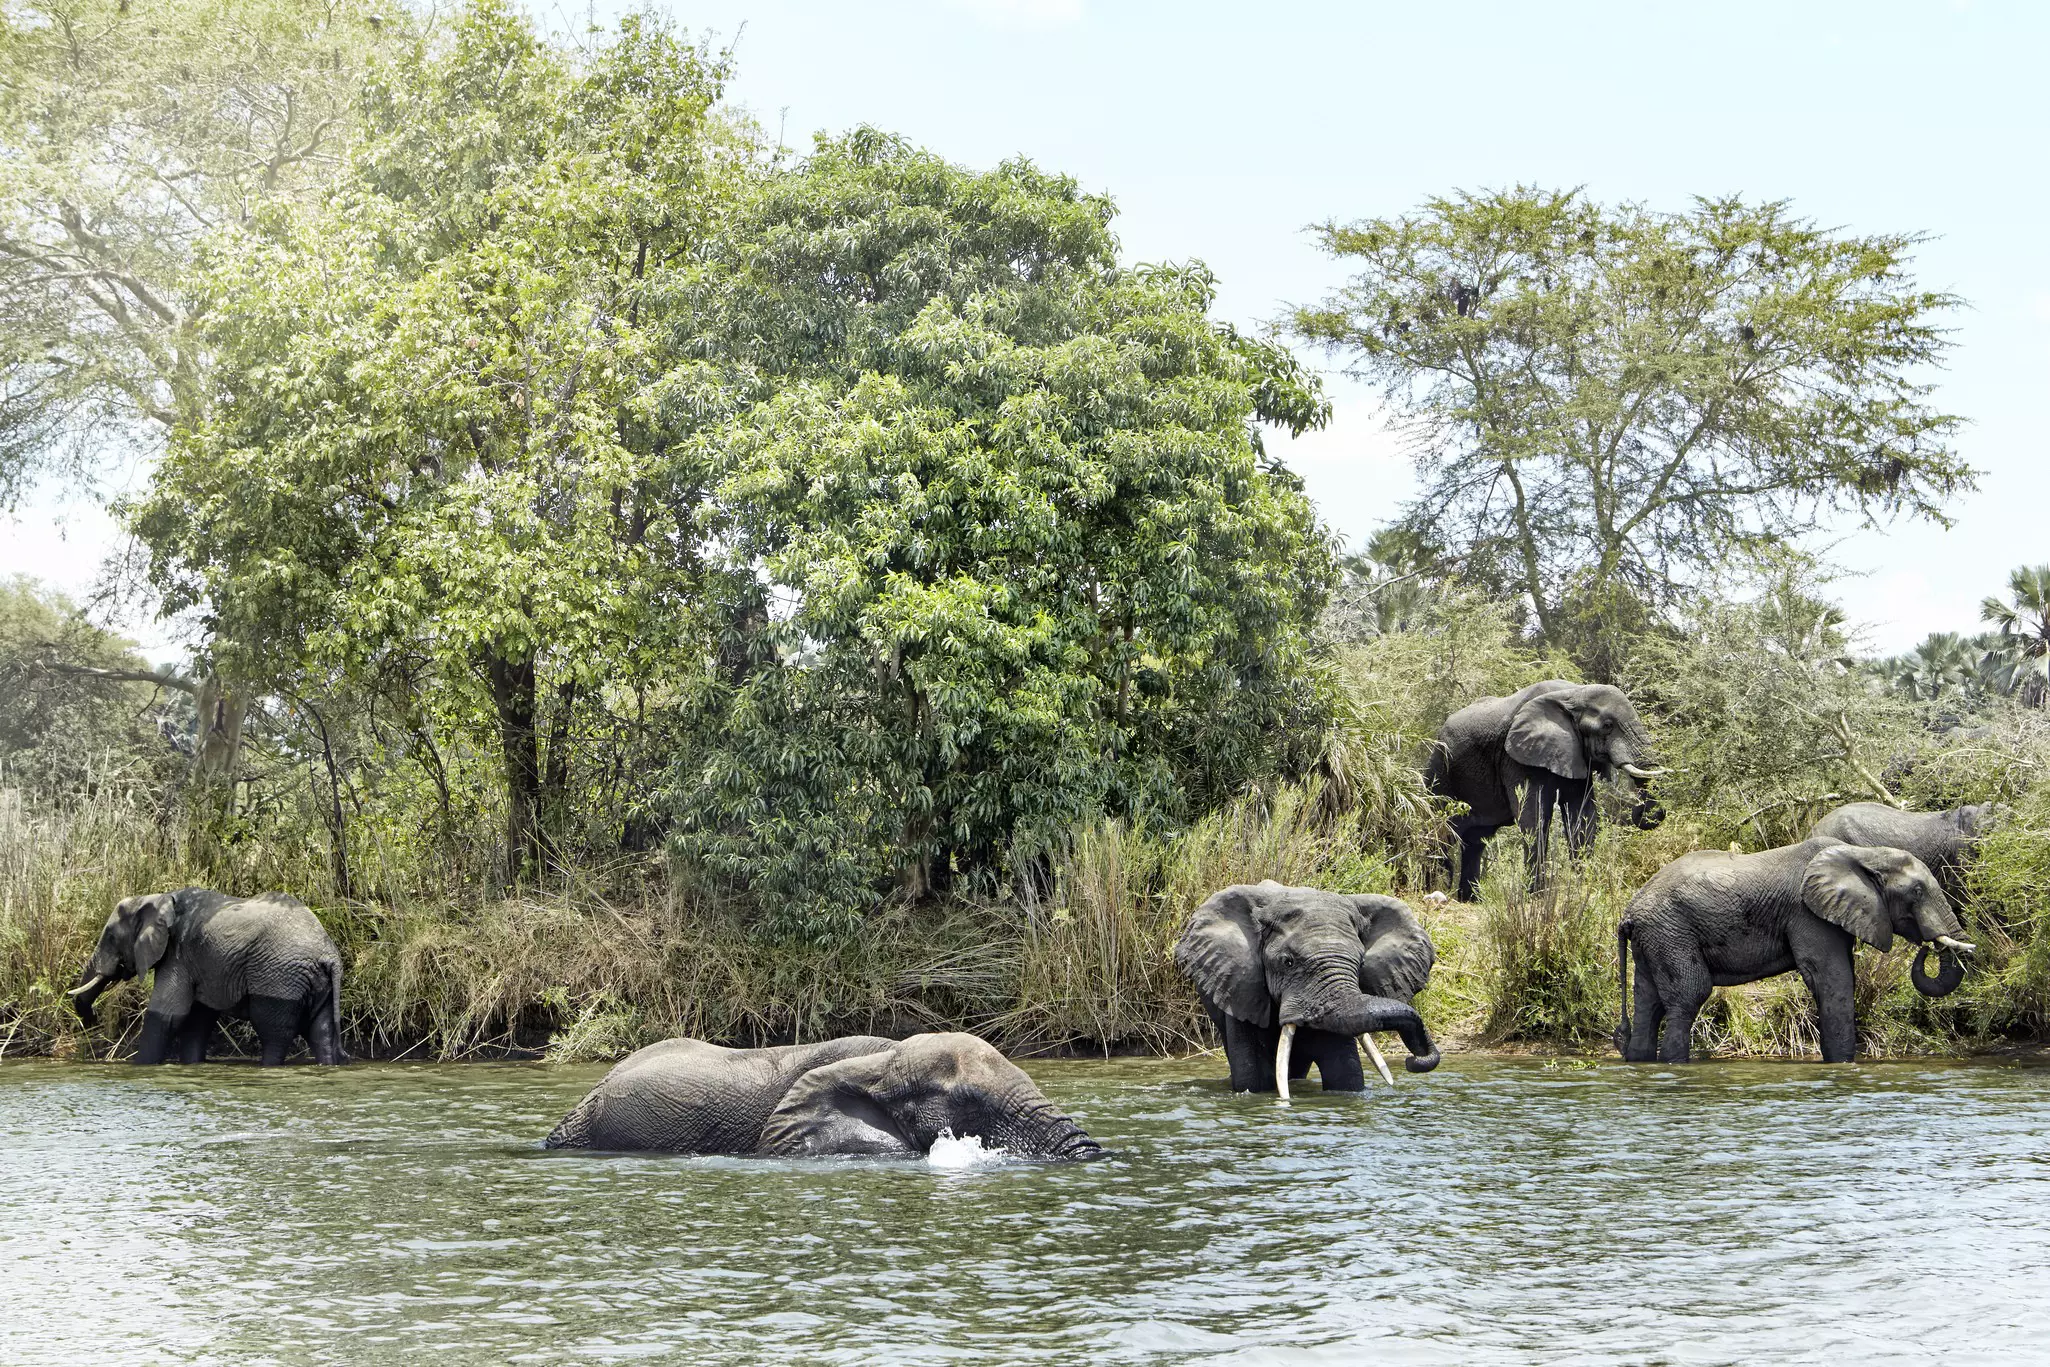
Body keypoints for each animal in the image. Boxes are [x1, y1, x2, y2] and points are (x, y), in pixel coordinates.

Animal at [68, 888, 347, 1066]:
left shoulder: (178, 953)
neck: (156, 897)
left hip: (279, 977)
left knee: (274, 1034)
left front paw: (139, 1066)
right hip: (316, 982)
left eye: (110, 937)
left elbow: (168, 1014)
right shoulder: (197, 961)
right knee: (320, 1033)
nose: (92, 1019)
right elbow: (197, 1020)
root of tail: (330, 954)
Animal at [1172, 880, 1440, 1098]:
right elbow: (1254, 1076)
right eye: (1287, 962)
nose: (1412, 1060)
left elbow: (1344, 1069)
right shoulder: (1242, 987)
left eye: (1361, 963)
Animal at [1427, 680, 1665, 902]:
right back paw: (1434, 888)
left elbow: (1582, 816)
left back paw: (1470, 899)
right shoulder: (1518, 757)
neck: (1574, 694)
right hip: (1440, 770)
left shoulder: (1575, 753)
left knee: (1475, 841)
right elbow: (1533, 817)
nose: (1639, 810)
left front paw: (1583, 889)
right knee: (1440, 831)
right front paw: (1536, 897)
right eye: (1608, 725)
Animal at [1614, 838, 1975, 1064]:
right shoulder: (1807, 913)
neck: (1864, 853)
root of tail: (1628, 912)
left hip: (1654, 938)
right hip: (1671, 932)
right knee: (1688, 995)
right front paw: (1841, 1064)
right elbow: (1831, 978)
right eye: (1917, 892)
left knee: (1648, 1003)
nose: (1927, 947)